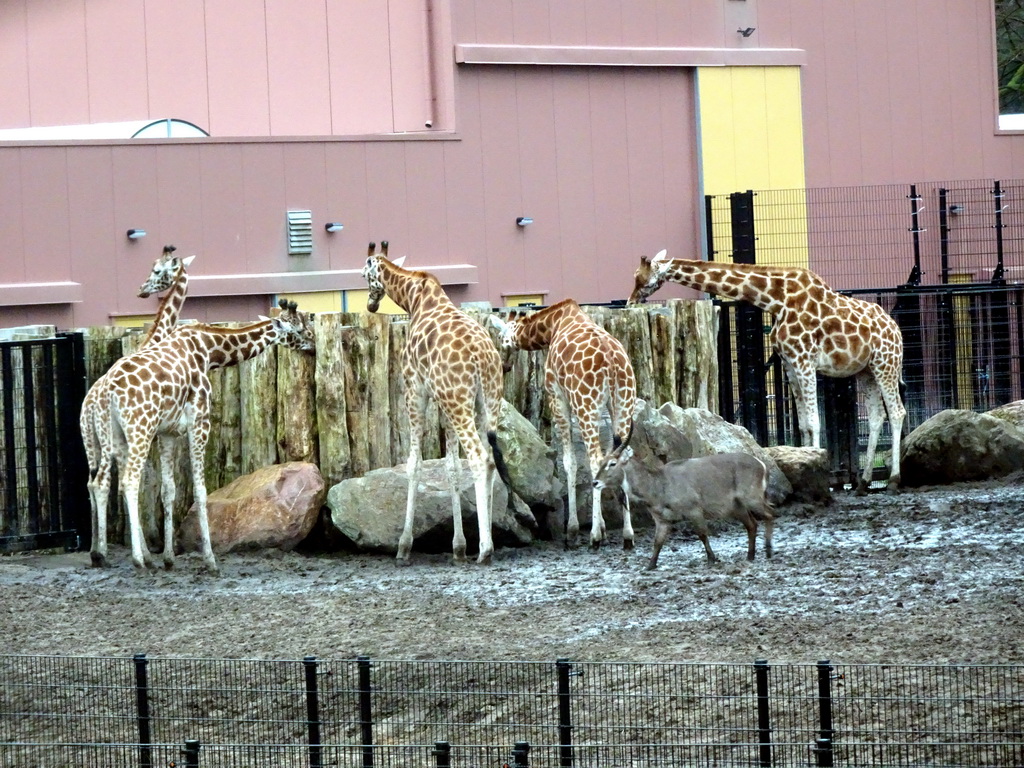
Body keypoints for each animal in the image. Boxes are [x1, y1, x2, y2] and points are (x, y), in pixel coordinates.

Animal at [100, 299, 315, 573]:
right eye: (299, 329)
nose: (313, 345)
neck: (208, 351)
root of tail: (107, 391)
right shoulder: (199, 421)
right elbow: (200, 490)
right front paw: (210, 560)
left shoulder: (168, 432)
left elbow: (168, 490)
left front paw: (169, 558)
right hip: (140, 428)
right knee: (129, 481)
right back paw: (137, 559)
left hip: (114, 434)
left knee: (107, 482)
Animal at [360, 240, 512, 565]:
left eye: (364, 275)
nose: (371, 305)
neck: (415, 299)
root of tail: (482, 359)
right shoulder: (444, 401)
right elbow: (451, 467)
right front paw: (458, 546)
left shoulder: (414, 389)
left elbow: (414, 464)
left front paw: (404, 546)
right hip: (486, 402)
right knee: (491, 459)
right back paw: (488, 542)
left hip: (459, 403)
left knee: (480, 458)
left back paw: (485, 549)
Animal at [489, 296, 638, 548]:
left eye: (501, 338)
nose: (505, 365)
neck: (552, 327)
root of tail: (611, 362)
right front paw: (604, 527)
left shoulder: (557, 397)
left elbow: (569, 462)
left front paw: (574, 530)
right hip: (623, 402)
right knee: (622, 456)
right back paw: (628, 535)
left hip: (586, 404)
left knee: (595, 459)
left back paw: (593, 537)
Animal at [622, 249, 905, 495]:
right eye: (635, 275)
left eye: (642, 278)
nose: (629, 301)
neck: (775, 300)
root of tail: (896, 330)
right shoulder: (790, 363)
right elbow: (803, 424)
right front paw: (807, 466)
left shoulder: (805, 360)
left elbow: (815, 421)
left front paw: (820, 477)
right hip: (866, 370)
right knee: (878, 416)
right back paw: (863, 483)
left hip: (886, 364)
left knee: (897, 412)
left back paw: (893, 480)